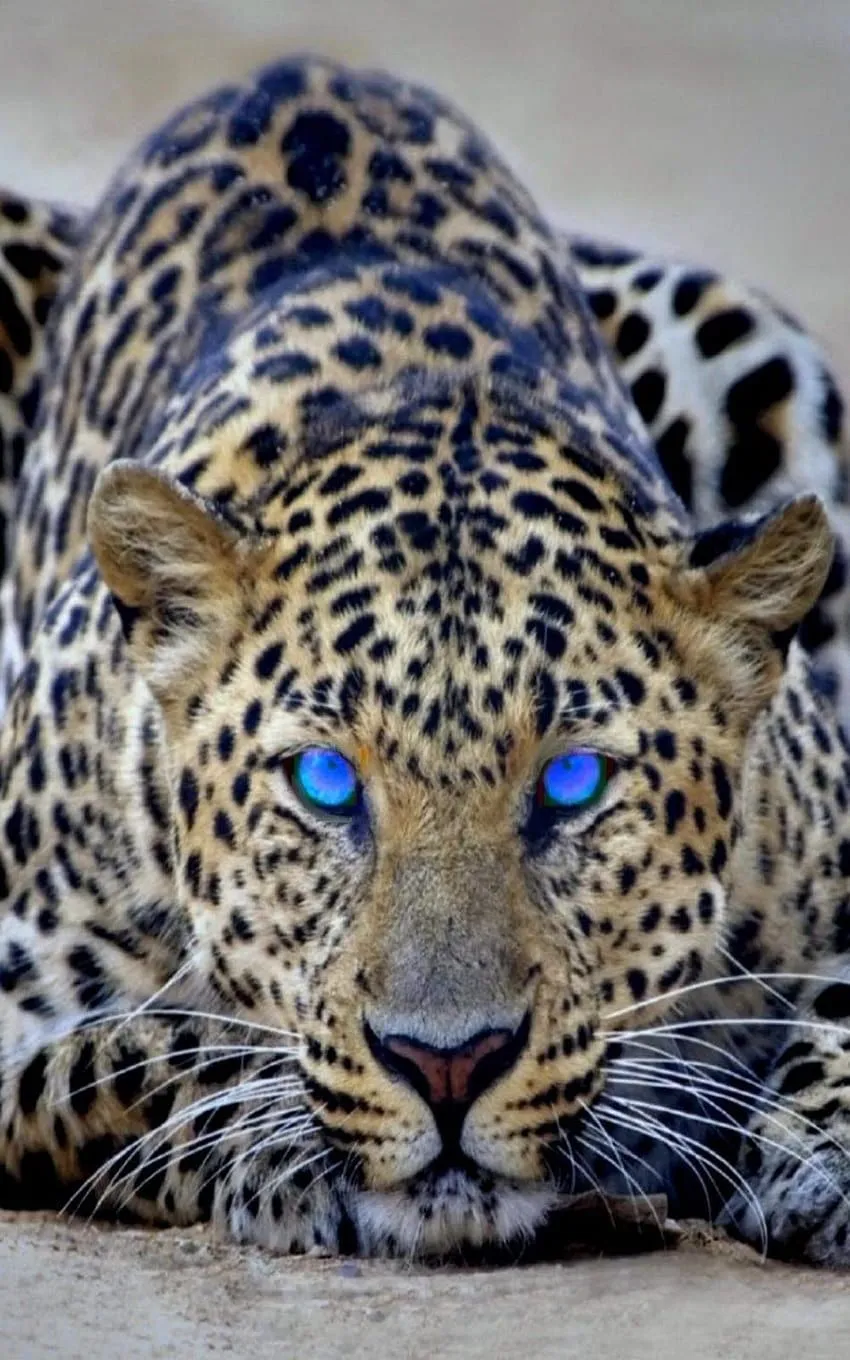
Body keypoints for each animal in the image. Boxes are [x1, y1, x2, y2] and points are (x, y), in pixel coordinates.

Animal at [0, 54, 849, 1267]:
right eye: (325, 782)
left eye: (572, 781)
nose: (448, 1064)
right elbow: (147, 1048)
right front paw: (269, 1144)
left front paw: (821, 1149)